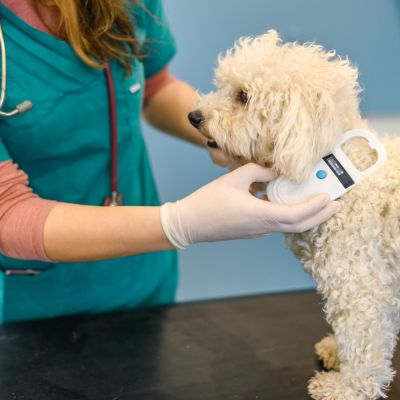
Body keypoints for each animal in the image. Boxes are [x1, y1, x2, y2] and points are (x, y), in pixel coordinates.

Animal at [189, 29, 400, 398]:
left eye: (243, 96)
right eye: (223, 86)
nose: (194, 116)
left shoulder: (362, 286)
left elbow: (364, 345)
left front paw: (346, 388)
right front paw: (336, 351)